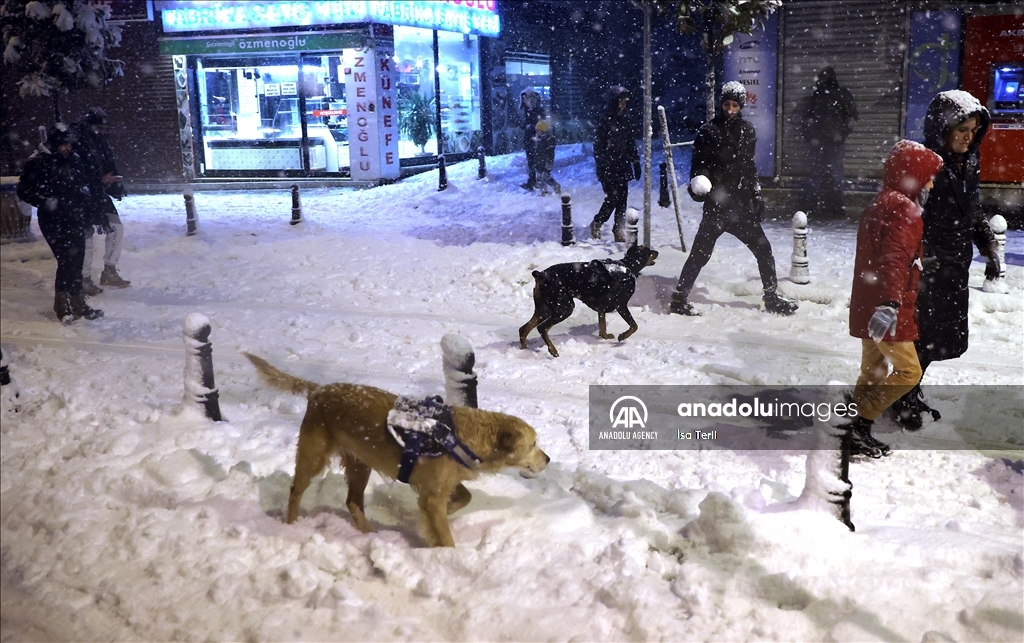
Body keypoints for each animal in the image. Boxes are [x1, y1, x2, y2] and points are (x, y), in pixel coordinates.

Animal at [242, 352, 548, 548]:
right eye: (533, 444)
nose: (547, 459)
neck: (462, 435)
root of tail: (319, 390)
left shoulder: (440, 484)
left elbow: (464, 497)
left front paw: (440, 515)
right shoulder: (432, 494)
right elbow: (445, 535)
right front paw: (448, 558)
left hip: (360, 463)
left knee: (352, 501)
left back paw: (367, 532)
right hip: (313, 456)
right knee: (296, 490)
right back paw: (292, 524)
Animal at [516, 244, 659, 356]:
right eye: (649, 250)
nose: (657, 252)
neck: (627, 266)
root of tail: (540, 275)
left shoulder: (602, 307)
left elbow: (602, 327)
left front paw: (605, 336)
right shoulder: (621, 305)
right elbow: (634, 325)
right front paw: (622, 336)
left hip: (544, 308)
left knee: (524, 329)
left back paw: (525, 351)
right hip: (564, 307)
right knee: (542, 328)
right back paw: (553, 350)